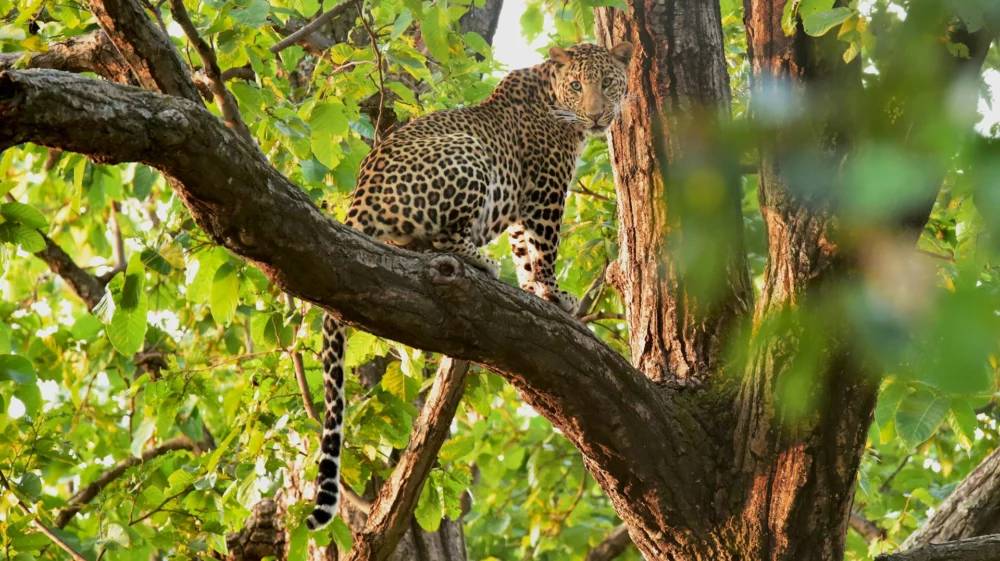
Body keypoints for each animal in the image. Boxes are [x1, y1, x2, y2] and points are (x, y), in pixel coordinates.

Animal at [306, 41, 633, 530]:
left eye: (609, 83)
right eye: (577, 86)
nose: (596, 116)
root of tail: (361, 196)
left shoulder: (521, 206)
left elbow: (525, 253)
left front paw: (534, 291)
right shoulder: (545, 190)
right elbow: (545, 248)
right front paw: (554, 293)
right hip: (468, 151)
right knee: (443, 240)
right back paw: (480, 261)